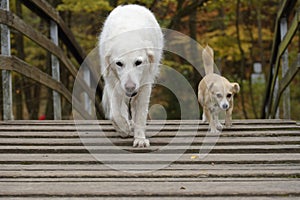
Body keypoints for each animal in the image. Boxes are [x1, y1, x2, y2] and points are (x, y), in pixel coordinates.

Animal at [99, 4, 163, 147]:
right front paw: (123, 127)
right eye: (119, 63)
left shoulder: (144, 86)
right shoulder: (112, 82)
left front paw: (140, 139)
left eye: (138, 62)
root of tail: (131, 5)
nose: (130, 87)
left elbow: (140, 115)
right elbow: (115, 113)